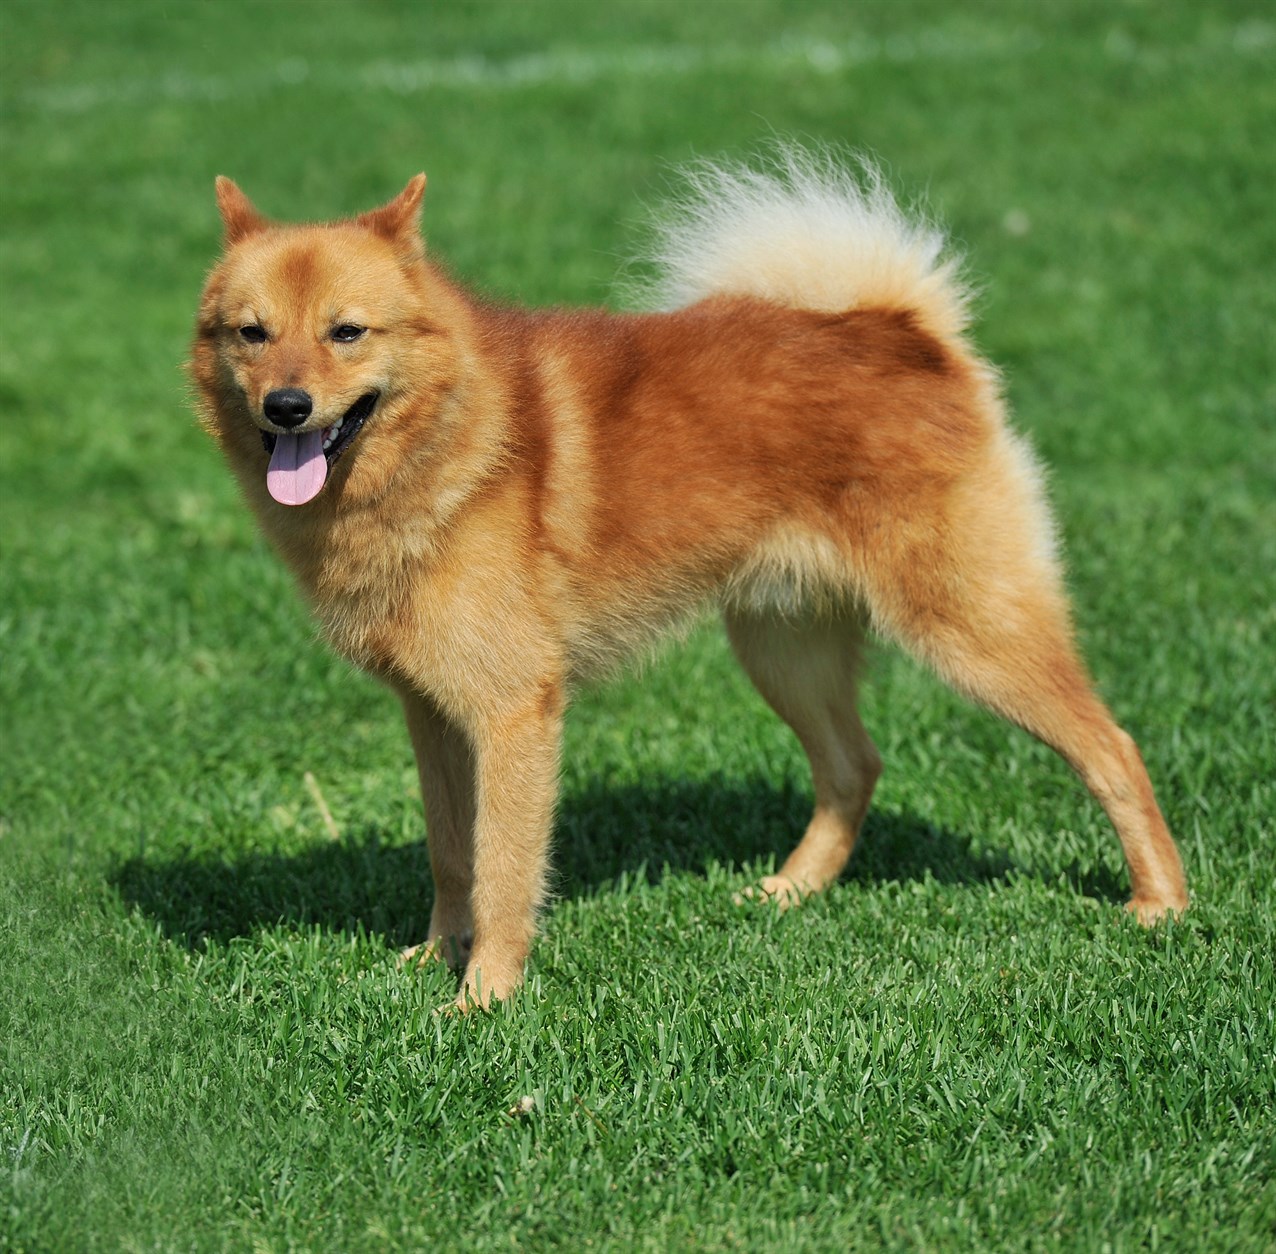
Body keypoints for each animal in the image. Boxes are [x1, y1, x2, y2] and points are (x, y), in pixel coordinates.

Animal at [188, 149, 1184, 1010]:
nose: (286, 406)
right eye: (252, 334)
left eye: (347, 333)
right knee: (853, 765)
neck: (448, 437)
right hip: (784, 647)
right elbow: (452, 855)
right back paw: (792, 892)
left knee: (1112, 747)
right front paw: (435, 957)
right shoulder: (433, 712)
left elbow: (505, 870)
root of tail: (902, 331)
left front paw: (482, 1000)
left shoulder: (512, 713)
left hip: (968, 628)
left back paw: (1161, 904)